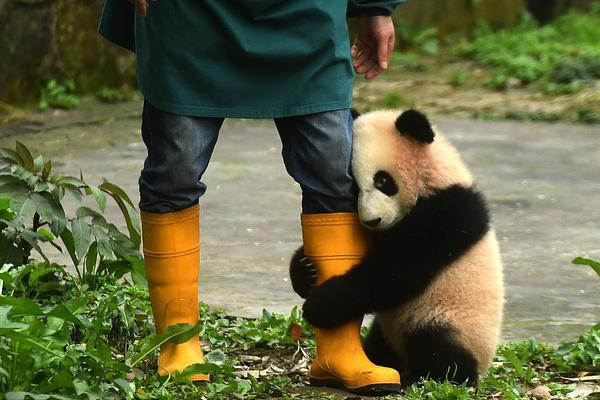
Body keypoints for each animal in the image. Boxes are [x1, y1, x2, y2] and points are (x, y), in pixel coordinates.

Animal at [290, 109, 502, 388]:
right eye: (353, 186)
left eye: (383, 180)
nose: (371, 220)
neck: (433, 179)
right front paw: (305, 269)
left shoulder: (448, 214)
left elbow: (396, 271)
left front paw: (321, 304)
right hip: (389, 329)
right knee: (381, 343)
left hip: (449, 318)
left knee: (439, 346)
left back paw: (435, 376)